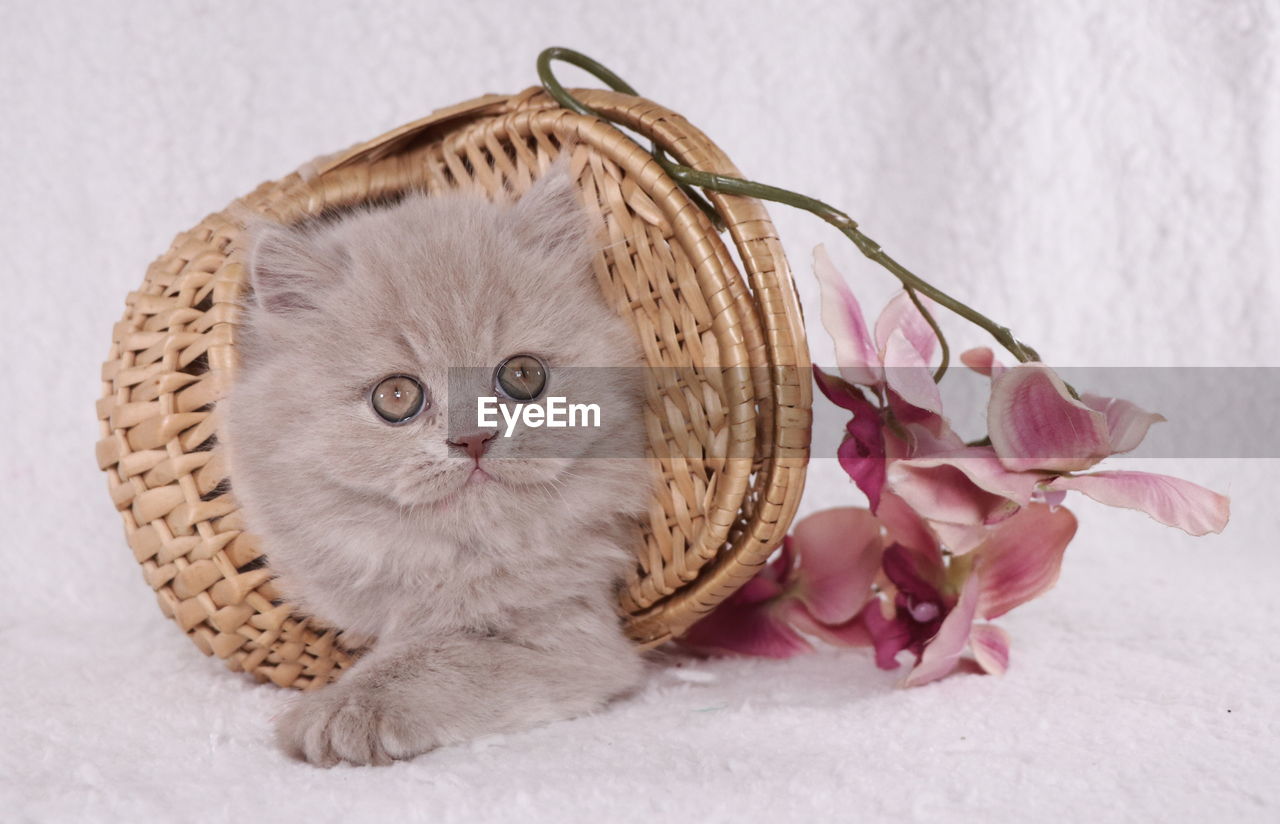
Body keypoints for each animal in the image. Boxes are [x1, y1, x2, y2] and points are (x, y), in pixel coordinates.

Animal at [221, 161, 655, 767]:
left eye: (523, 375)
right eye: (396, 396)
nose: (473, 439)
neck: (450, 557)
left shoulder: (572, 637)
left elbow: (439, 656)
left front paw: (342, 710)